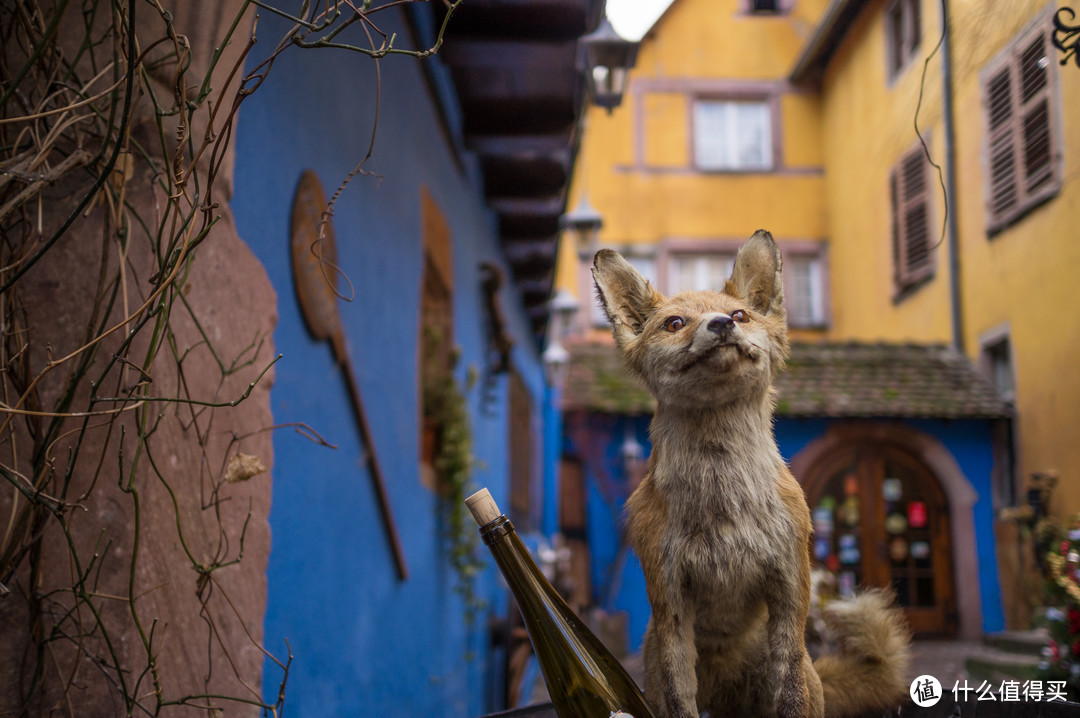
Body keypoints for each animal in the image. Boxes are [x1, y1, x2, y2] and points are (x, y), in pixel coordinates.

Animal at [591, 231, 911, 716]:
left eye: (740, 314)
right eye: (674, 323)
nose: (723, 324)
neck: (725, 504)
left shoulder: (790, 589)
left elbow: (791, 694)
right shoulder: (670, 603)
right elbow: (681, 698)